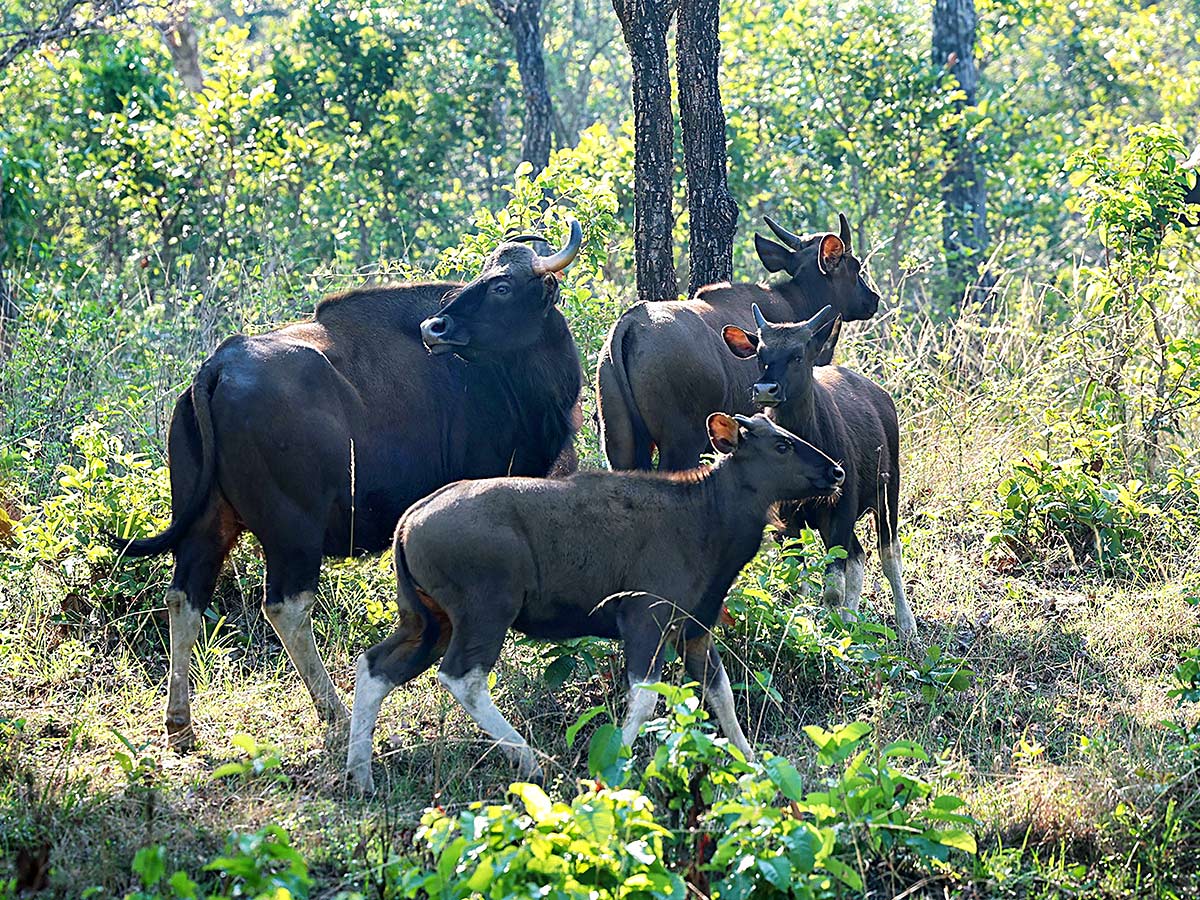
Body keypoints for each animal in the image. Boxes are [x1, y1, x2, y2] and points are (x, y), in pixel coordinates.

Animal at [343, 412, 840, 792]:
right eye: (781, 445)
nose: (836, 471)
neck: (706, 518)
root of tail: (409, 521)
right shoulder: (644, 618)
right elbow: (644, 699)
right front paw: (616, 771)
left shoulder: (693, 629)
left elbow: (720, 693)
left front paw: (752, 763)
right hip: (484, 610)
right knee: (462, 676)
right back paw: (532, 762)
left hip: (427, 620)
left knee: (375, 666)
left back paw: (362, 777)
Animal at [600, 213, 883, 472]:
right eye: (855, 266)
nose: (873, 299)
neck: (796, 302)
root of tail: (630, 324)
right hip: (681, 443)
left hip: (619, 443)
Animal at [720, 304, 916, 643]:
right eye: (761, 354)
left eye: (798, 355)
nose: (765, 389)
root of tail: (882, 396)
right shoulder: (787, 519)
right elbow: (796, 580)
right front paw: (806, 626)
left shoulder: (841, 507)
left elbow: (833, 587)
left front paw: (831, 631)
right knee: (858, 555)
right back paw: (851, 619)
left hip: (888, 492)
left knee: (888, 553)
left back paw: (905, 623)